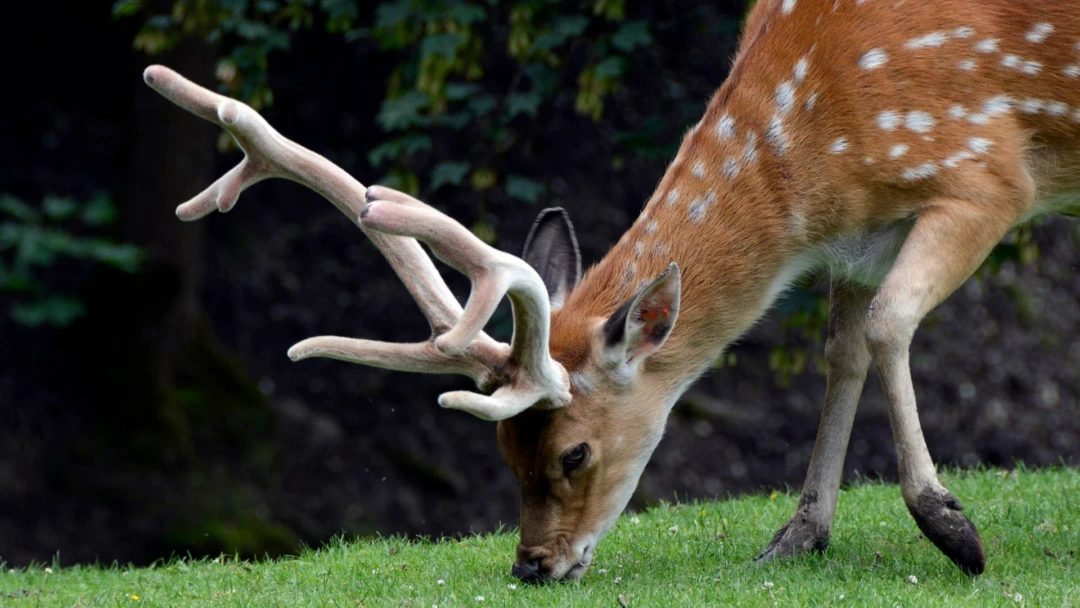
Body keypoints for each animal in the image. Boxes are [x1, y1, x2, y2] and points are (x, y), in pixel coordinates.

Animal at [143, 0, 1080, 583]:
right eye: (503, 451)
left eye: (575, 453)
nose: (532, 566)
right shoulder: (859, 238)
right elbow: (842, 351)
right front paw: (798, 535)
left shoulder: (986, 171)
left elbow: (888, 325)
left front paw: (952, 529)